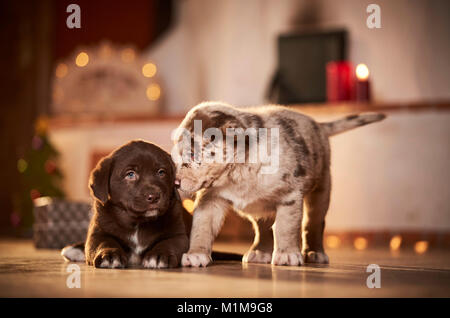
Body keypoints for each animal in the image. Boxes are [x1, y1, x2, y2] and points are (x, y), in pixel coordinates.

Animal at [61, 140, 188, 268]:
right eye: (130, 174)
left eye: (161, 172)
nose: (154, 197)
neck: (138, 222)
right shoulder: (98, 233)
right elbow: (104, 242)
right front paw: (109, 255)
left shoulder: (179, 235)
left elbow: (168, 243)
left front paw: (159, 255)